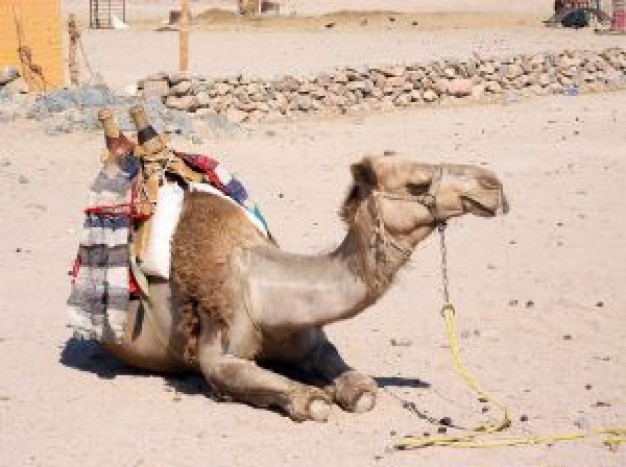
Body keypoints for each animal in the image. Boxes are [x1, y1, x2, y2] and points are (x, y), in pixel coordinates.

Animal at [97, 111, 508, 422]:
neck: (264, 295)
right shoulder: (219, 355)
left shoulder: (313, 342)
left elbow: (363, 391)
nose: (493, 184)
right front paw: (307, 397)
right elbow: (313, 402)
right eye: (418, 183)